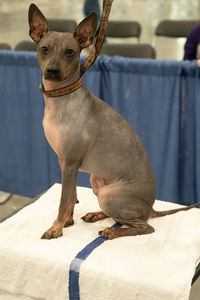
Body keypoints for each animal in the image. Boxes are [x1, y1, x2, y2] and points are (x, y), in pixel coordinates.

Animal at [28, 2, 200, 239]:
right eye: (44, 49)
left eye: (70, 52)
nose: (52, 71)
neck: (60, 99)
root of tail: (150, 207)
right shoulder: (64, 162)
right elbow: (71, 196)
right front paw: (68, 222)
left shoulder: (70, 164)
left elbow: (63, 201)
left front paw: (56, 227)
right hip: (96, 181)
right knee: (120, 217)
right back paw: (97, 215)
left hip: (110, 196)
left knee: (144, 227)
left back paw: (111, 231)